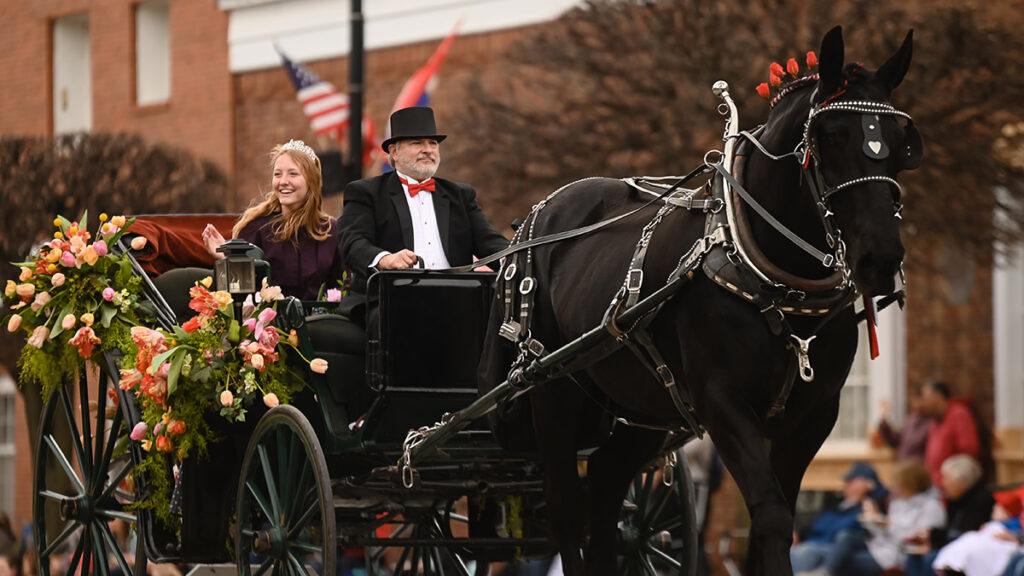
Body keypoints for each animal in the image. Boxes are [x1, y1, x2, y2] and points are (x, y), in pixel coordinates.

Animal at [479, 24, 921, 569]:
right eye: (830, 137)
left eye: (902, 143)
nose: (880, 258)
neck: (770, 275)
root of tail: (535, 218)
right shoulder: (723, 404)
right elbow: (772, 514)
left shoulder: (813, 415)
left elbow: (771, 522)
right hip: (553, 390)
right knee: (566, 510)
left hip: (642, 401)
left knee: (605, 482)